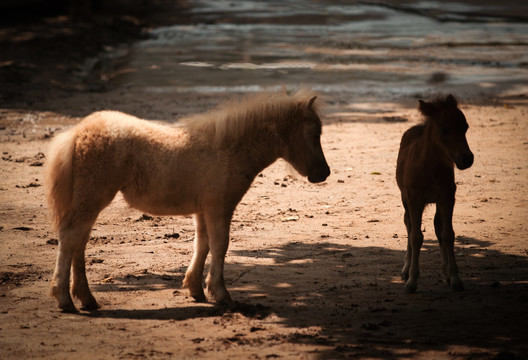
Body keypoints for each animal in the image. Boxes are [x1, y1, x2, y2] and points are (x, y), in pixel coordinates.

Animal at [396, 94, 474, 294]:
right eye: (444, 129)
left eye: (465, 127)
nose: (466, 159)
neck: (430, 167)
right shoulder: (415, 199)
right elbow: (416, 236)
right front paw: (411, 281)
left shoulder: (447, 198)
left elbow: (448, 234)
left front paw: (455, 278)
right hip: (405, 198)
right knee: (408, 225)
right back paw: (405, 270)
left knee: (438, 227)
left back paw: (445, 272)